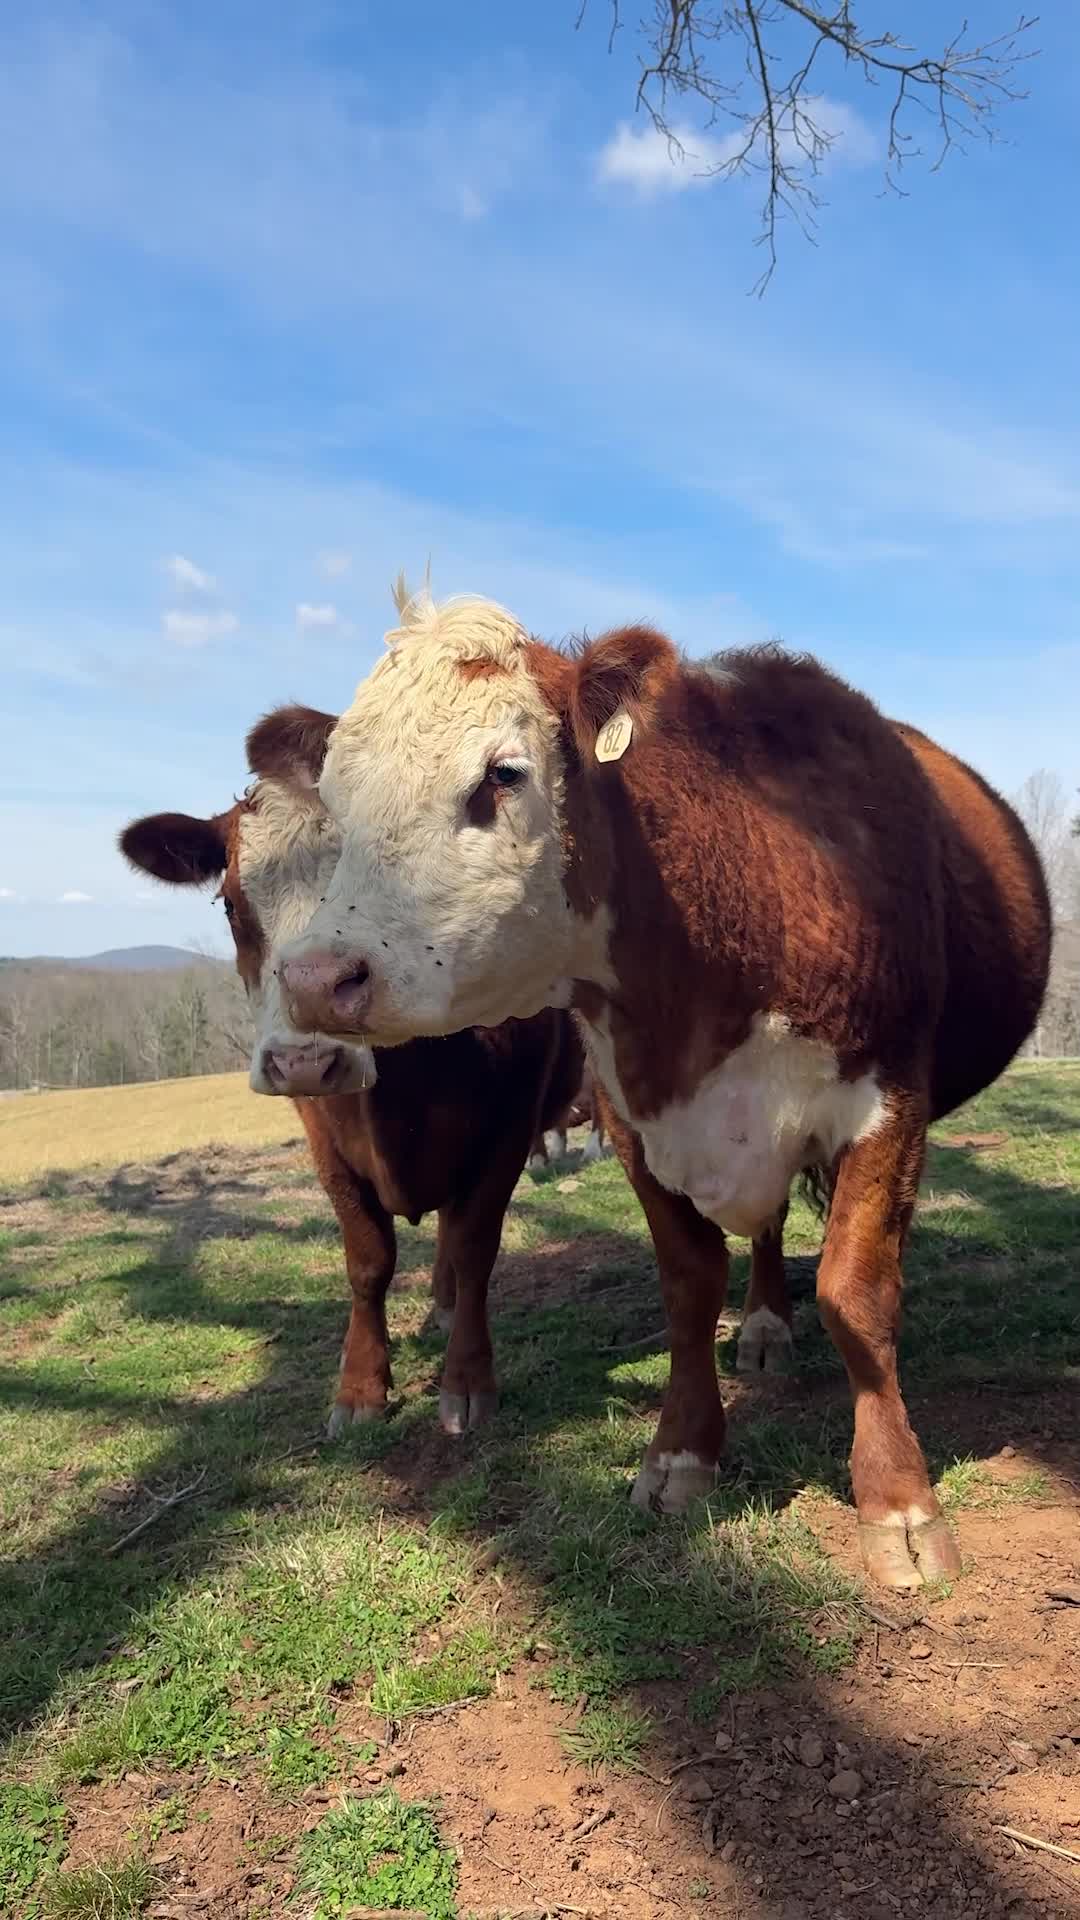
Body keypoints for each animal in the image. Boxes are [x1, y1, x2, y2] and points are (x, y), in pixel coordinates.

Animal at [118, 738, 585, 1436]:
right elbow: (369, 1261)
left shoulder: (508, 1129)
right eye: (230, 904)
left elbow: (475, 1247)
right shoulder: (328, 1144)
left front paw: (466, 1380)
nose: (303, 1060)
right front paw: (361, 1387)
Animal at [260, 586, 1052, 1590]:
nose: (318, 978)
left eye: (503, 775)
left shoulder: (888, 1105)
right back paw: (764, 1325)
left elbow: (858, 1293)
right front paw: (680, 1456)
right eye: (334, 799)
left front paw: (900, 1502)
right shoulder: (634, 1119)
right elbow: (688, 1286)